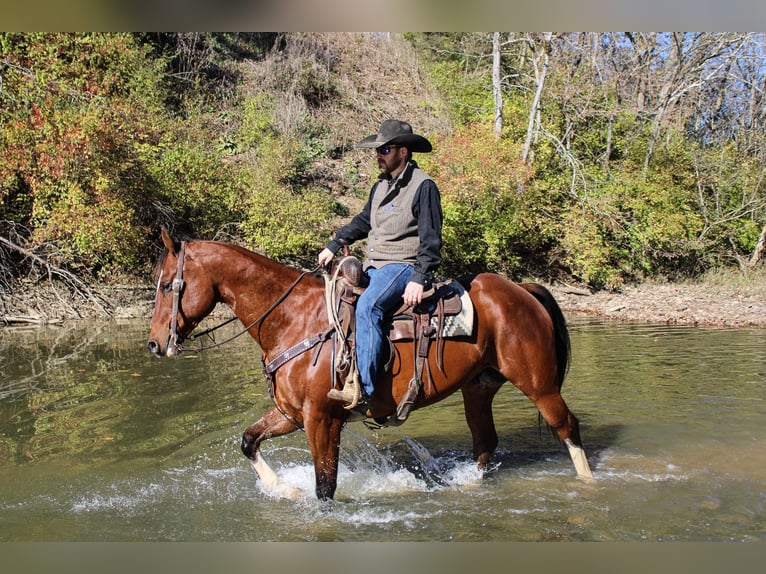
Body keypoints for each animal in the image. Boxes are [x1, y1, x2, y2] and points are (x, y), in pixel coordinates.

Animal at [148, 228, 592, 500]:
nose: (154, 344)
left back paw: (590, 484)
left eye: (168, 284)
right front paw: (283, 489)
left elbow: (325, 488)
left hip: (539, 384)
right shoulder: (291, 414)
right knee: (486, 442)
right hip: (479, 386)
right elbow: (248, 441)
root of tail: (522, 289)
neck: (294, 319)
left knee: (567, 428)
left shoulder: (322, 419)